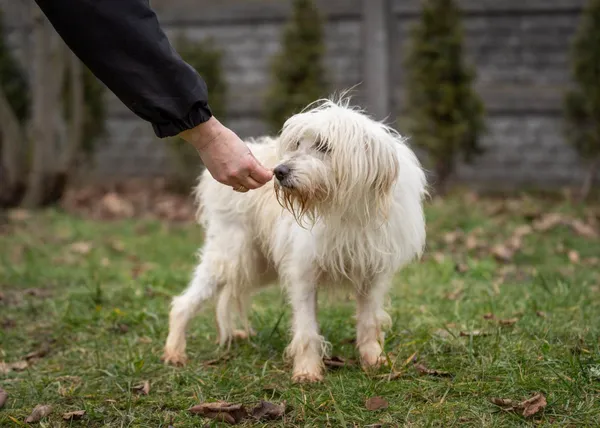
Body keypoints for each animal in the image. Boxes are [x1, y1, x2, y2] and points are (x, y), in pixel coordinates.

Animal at [162, 96, 428, 382]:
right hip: (231, 257)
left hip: (256, 266)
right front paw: (307, 370)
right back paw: (174, 351)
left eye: (324, 146)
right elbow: (306, 328)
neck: (344, 210)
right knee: (183, 304)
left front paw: (374, 360)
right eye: (298, 144)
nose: (279, 171)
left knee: (226, 295)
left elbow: (368, 321)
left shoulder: (373, 275)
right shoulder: (303, 273)